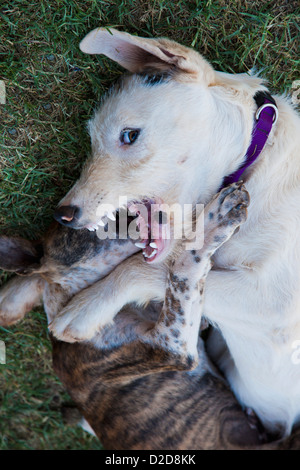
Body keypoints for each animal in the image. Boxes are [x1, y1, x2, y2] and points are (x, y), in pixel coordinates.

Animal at [49, 27, 300, 436]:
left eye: (129, 135)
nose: (62, 215)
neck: (256, 165)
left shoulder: (274, 303)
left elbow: (148, 269)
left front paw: (87, 308)